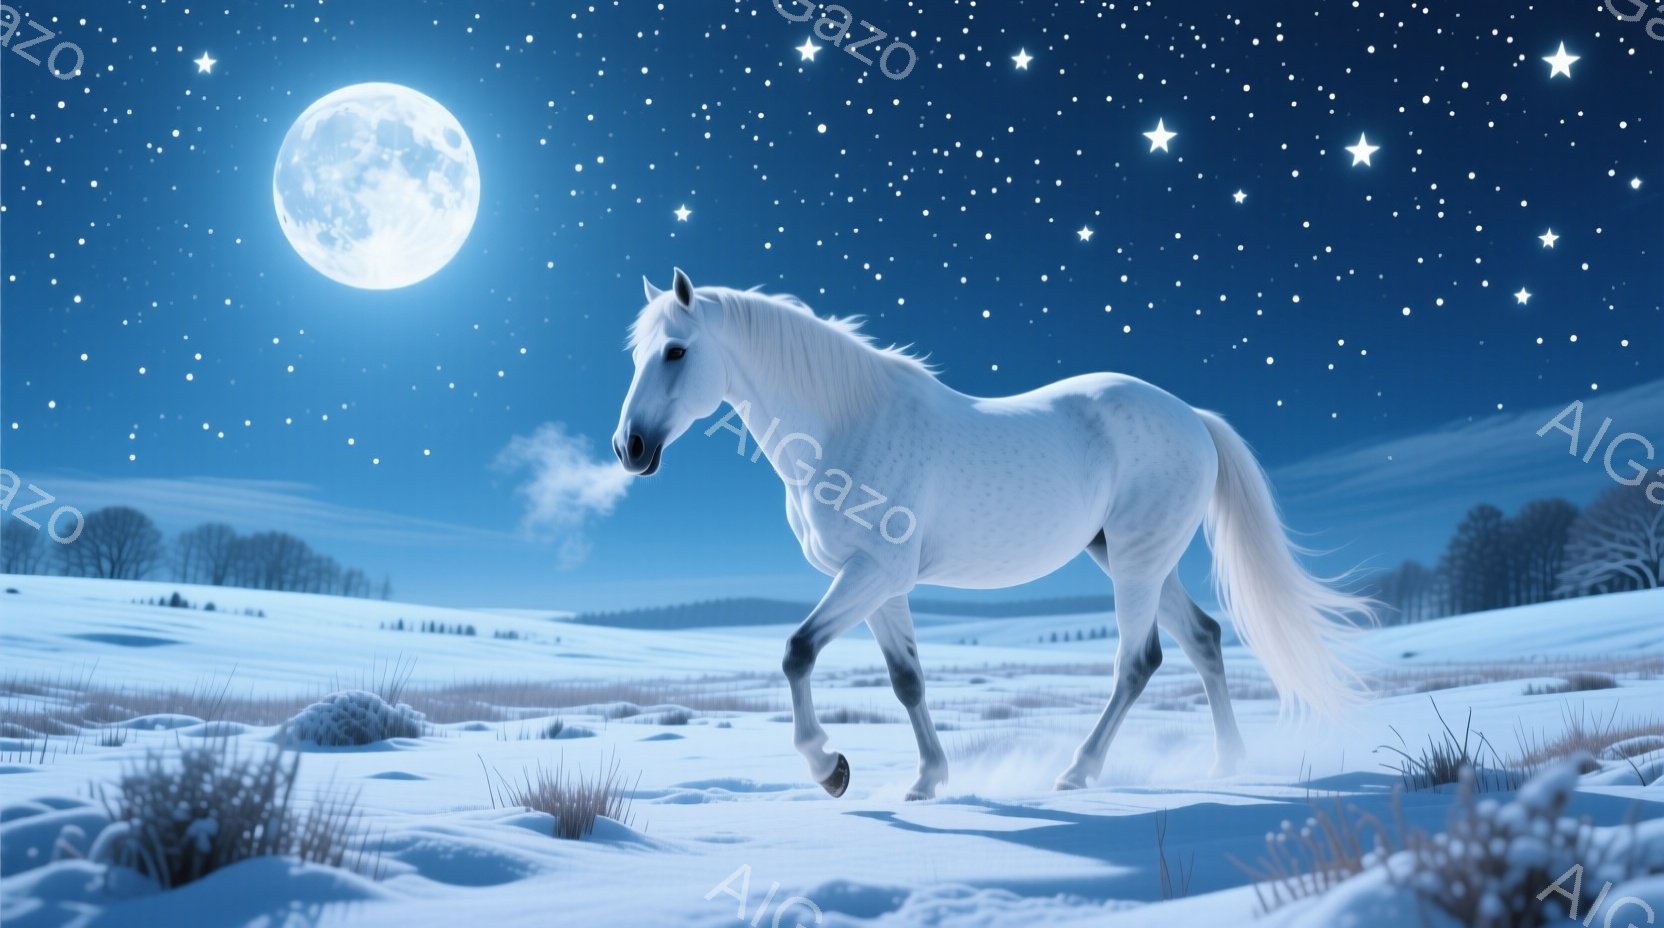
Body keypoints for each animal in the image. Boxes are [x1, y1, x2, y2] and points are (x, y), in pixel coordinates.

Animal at [614, 268, 1369, 800]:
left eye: (676, 351)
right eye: (638, 354)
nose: (630, 447)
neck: (844, 424)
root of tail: (1194, 418)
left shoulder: (873, 573)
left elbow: (797, 652)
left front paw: (831, 768)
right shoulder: (880, 586)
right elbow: (907, 680)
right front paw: (926, 781)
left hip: (1135, 561)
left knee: (1139, 659)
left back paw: (1079, 772)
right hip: (1136, 559)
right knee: (1206, 639)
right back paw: (1226, 764)